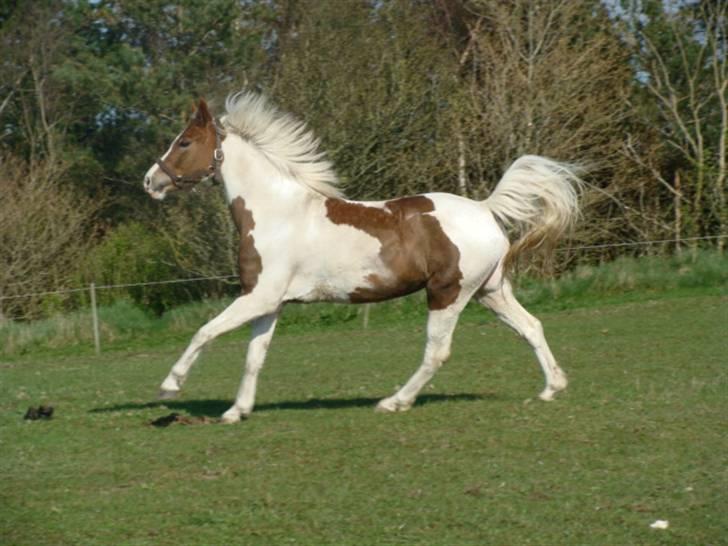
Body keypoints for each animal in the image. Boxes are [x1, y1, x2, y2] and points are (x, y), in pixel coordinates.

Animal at [143, 92, 583, 423]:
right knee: (530, 327)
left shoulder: (258, 297)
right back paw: (552, 388)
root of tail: (484, 209)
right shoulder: (269, 303)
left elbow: (205, 331)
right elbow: (255, 357)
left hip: (448, 293)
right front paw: (237, 411)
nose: (151, 181)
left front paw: (169, 386)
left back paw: (393, 402)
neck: (276, 212)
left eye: (184, 142)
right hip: (490, 291)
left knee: (437, 352)